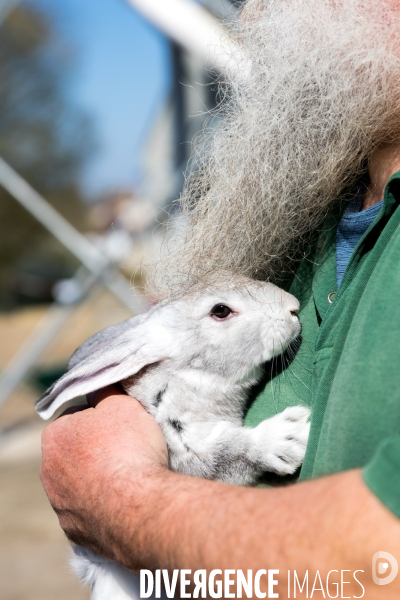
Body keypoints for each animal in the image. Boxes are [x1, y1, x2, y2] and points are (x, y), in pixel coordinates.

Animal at [35, 272, 310, 600]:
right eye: (220, 311)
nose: (293, 307)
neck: (184, 377)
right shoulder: (188, 454)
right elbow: (230, 451)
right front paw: (291, 435)